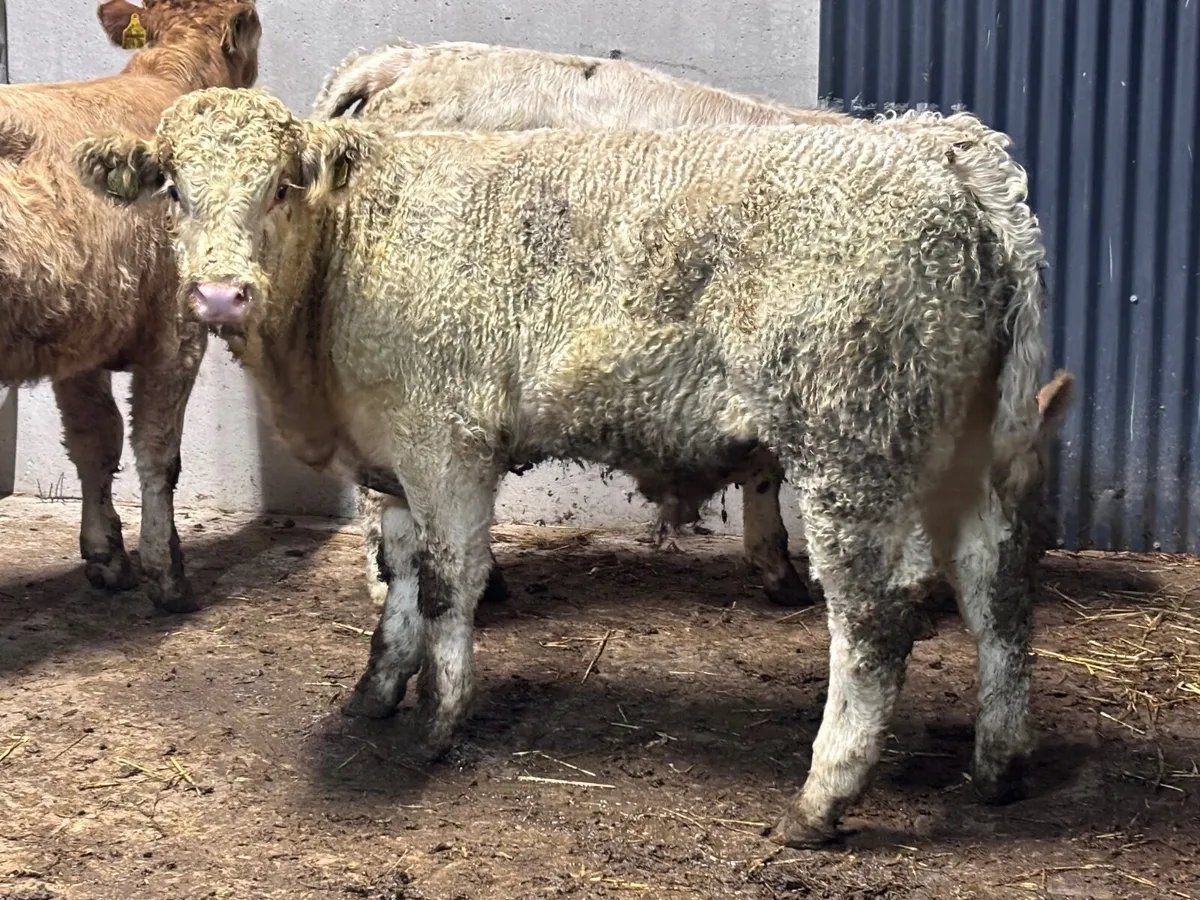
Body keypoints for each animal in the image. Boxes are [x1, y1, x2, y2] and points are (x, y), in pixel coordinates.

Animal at [0, 0, 261, 612]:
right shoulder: (177, 330)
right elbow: (158, 451)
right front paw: (167, 574)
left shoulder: (80, 335)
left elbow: (94, 440)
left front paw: (106, 557)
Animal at [77, 87, 1050, 846]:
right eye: (173, 188)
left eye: (279, 186)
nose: (219, 295)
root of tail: (944, 150)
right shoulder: (389, 457)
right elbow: (398, 581)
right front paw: (375, 691)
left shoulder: (447, 441)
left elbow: (449, 584)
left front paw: (437, 722)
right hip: (964, 447)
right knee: (996, 586)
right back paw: (998, 764)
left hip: (849, 445)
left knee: (875, 620)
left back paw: (821, 802)